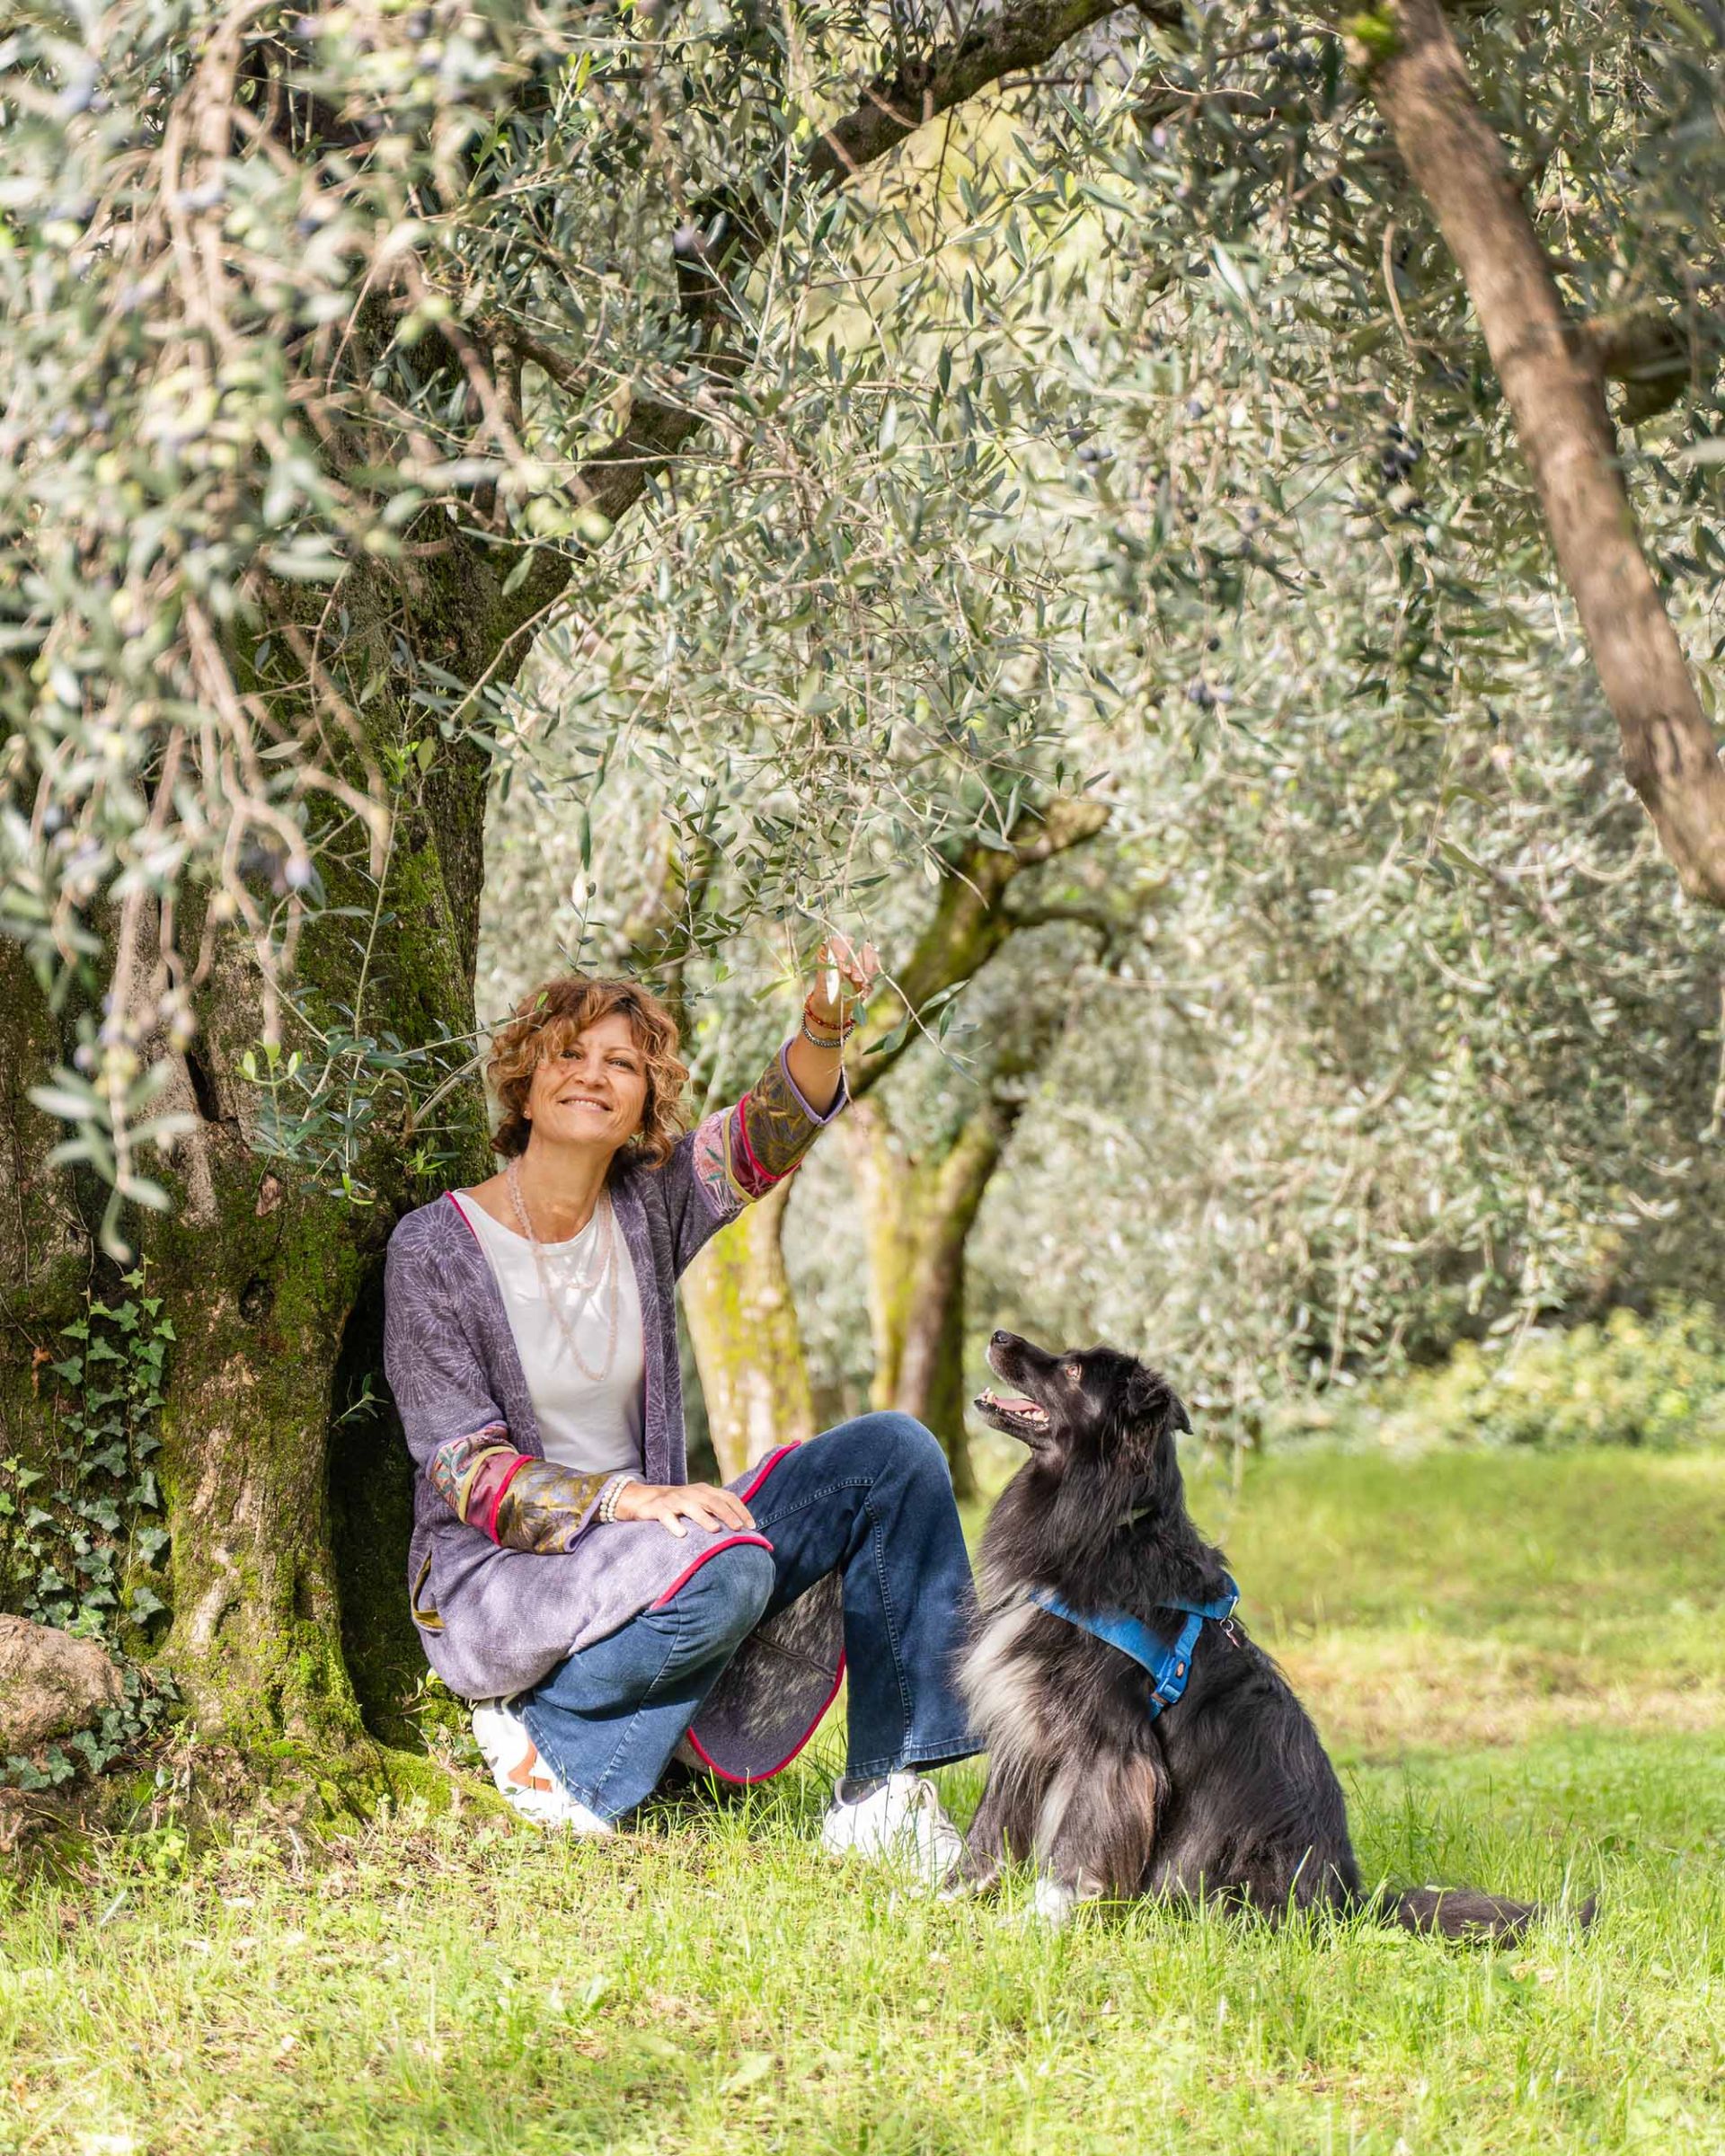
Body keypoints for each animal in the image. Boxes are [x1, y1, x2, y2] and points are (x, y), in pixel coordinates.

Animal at [954, 1329, 1581, 1936]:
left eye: (1075, 1370)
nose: (999, 1334)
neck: (1104, 1522)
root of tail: (1348, 1904)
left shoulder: (1109, 1747)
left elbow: (1078, 1845)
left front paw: (1043, 1918)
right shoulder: (1030, 1722)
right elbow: (993, 1822)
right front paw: (949, 1895)